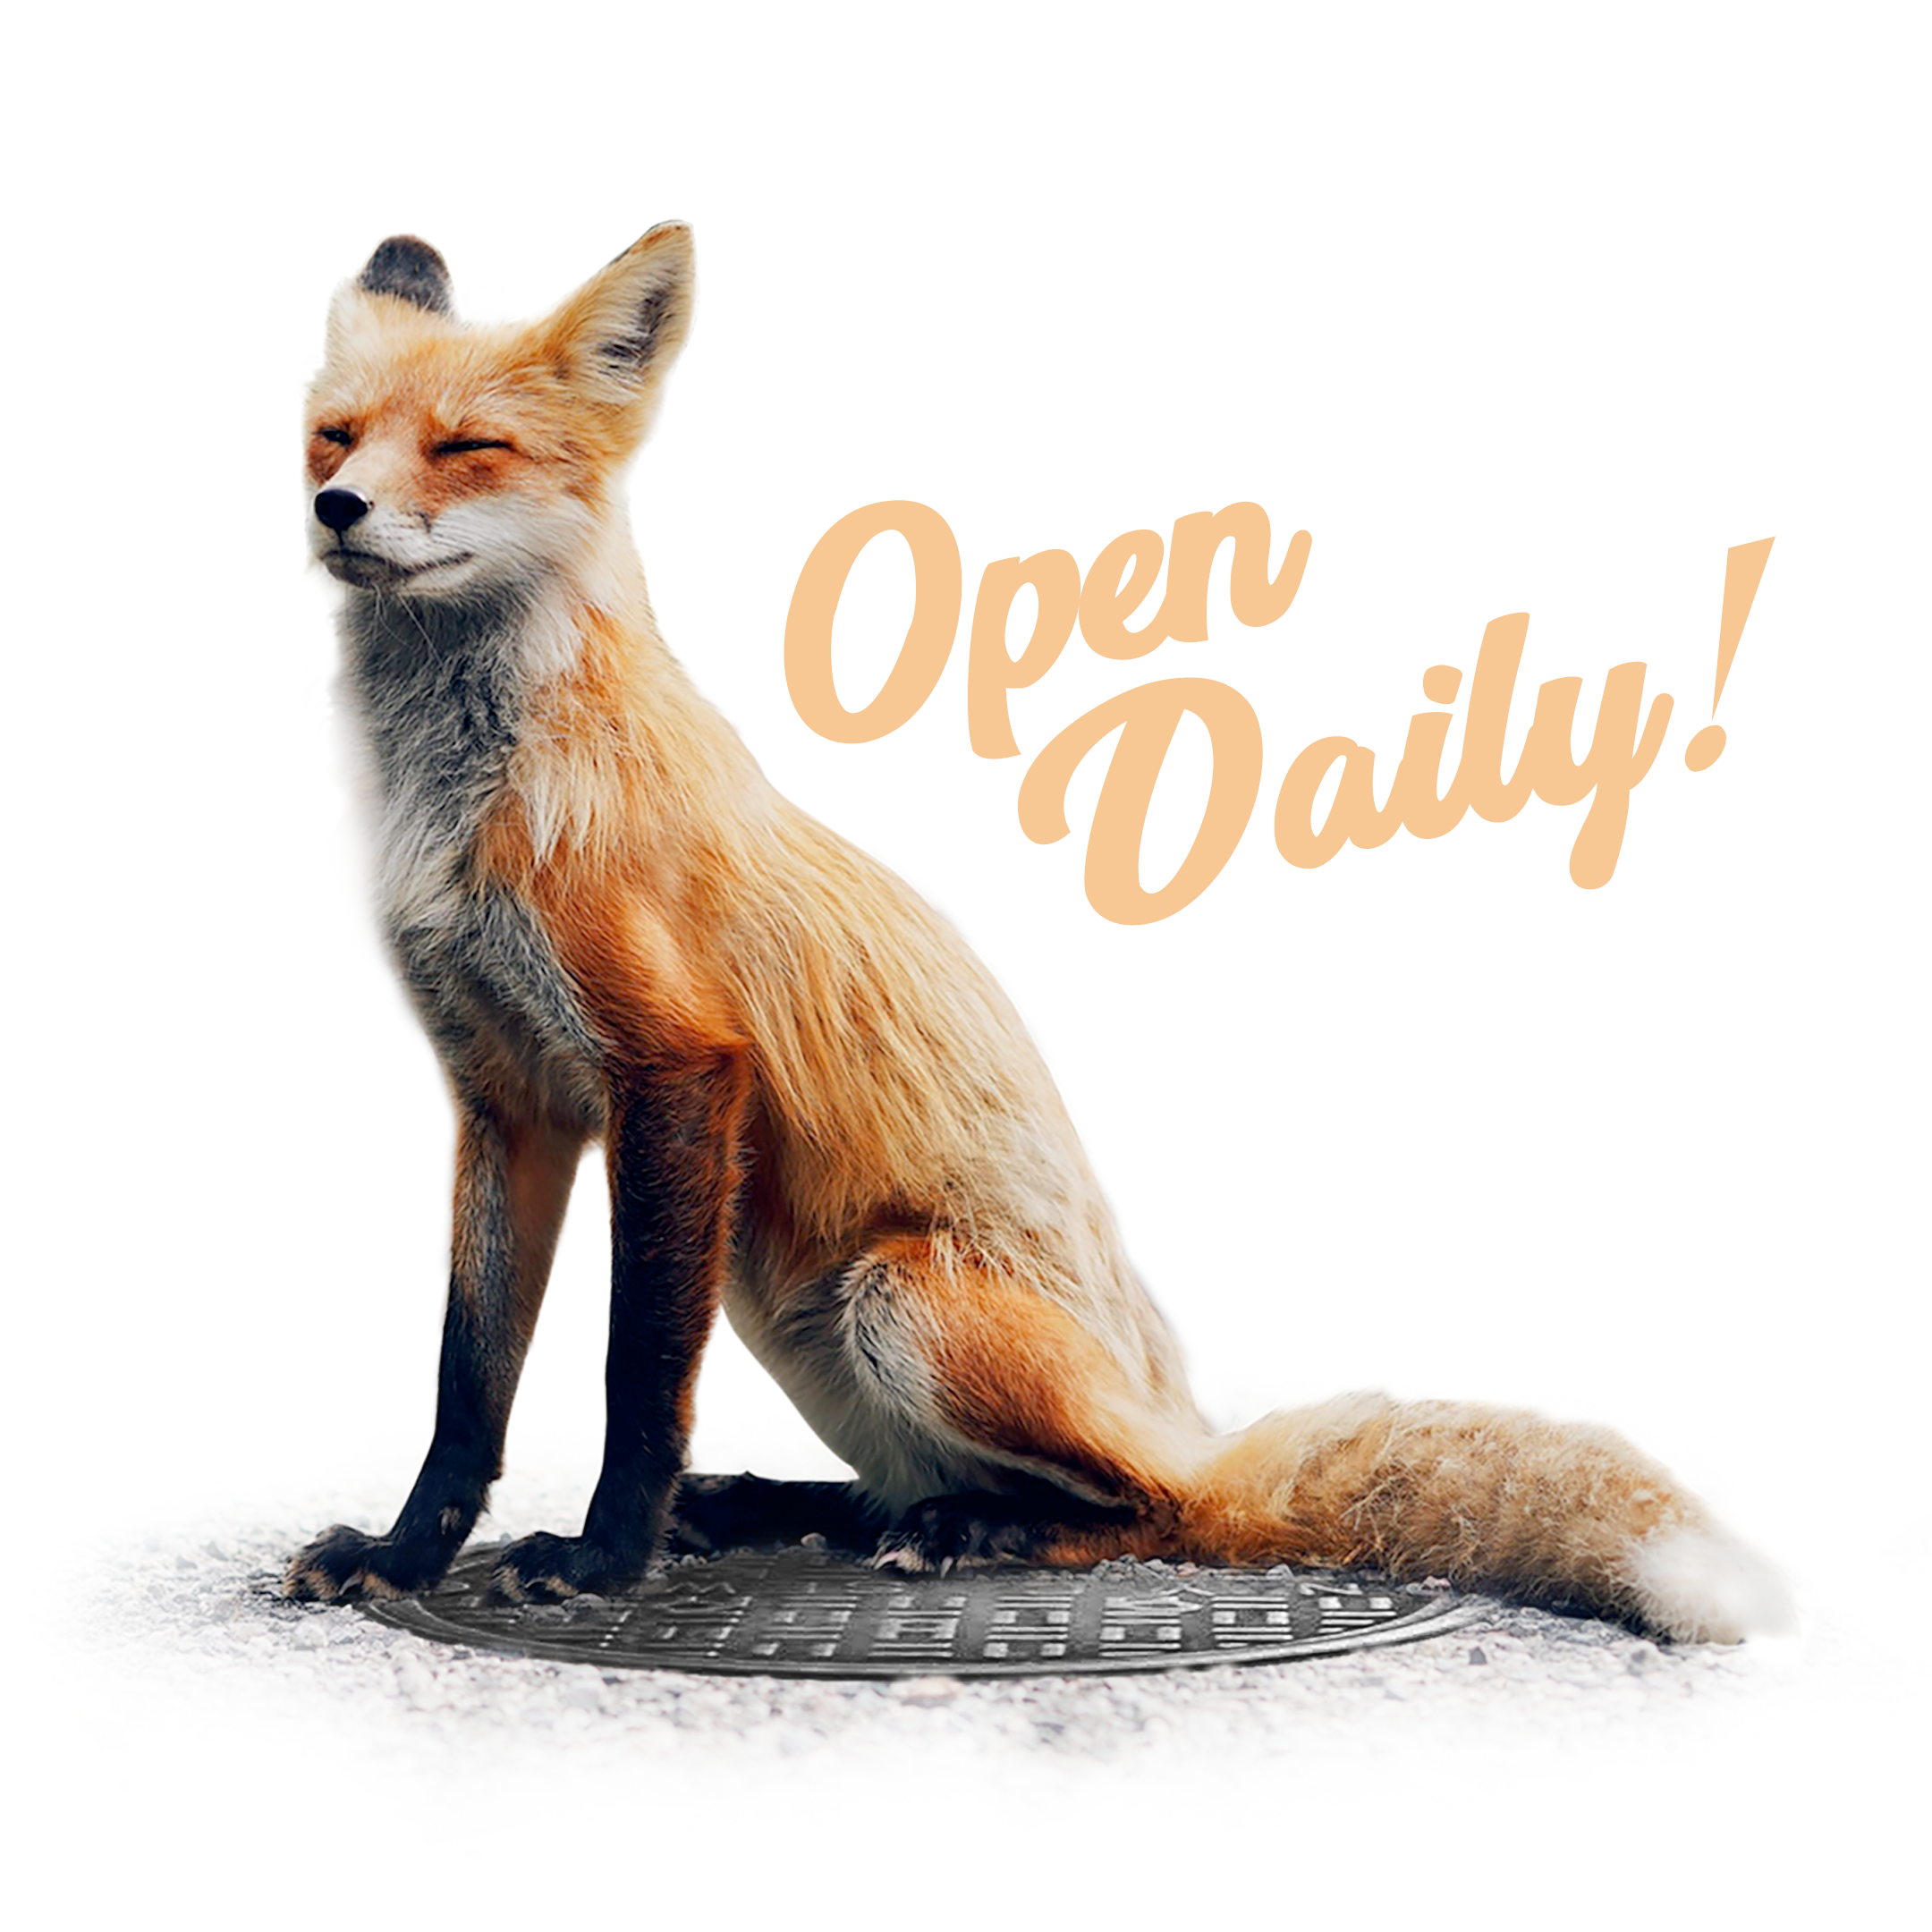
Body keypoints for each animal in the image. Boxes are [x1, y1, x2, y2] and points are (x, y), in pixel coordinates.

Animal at [285, 224, 1790, 1644]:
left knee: (1164, 1513)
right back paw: (794, 1506)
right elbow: (467, 1378)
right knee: (919, 1487)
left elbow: (632, 1376)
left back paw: (975, 1533)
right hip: (781, 1293)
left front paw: (602, 1558)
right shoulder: (510, 1097)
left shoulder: (677, 1071)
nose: (336, 509)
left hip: (895, 1299)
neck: (471, 802)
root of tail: (1185, 1414)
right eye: (336, 434)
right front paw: (404, 1554)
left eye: (470, 446)